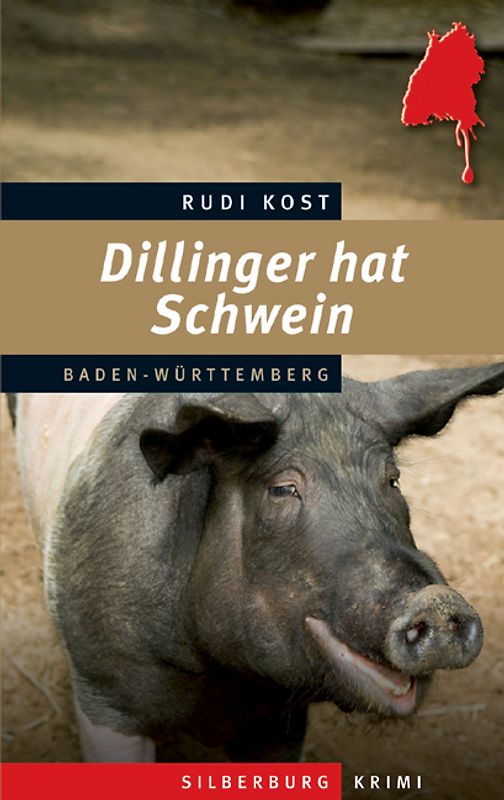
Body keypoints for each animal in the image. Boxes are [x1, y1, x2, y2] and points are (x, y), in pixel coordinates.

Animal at [7, 362, 504, 762]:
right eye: (283, 489)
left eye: (393, 480)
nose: (436, 601)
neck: (224, 681)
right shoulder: (104, 690)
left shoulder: (282, 718)